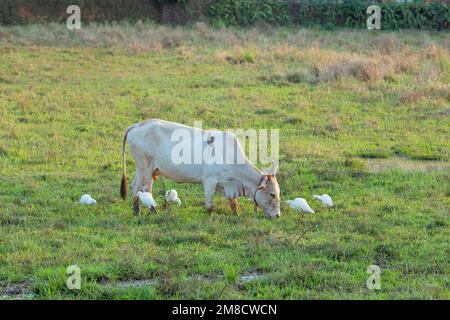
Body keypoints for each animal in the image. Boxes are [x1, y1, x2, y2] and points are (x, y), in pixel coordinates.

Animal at [119, 119, 282, 219]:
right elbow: (209, 205)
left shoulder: (229, 185)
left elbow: (233, 202)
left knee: (137, 187)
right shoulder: (209, 181)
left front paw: (236, 214)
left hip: (145, 169)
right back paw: (149, 211)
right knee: (145, 189)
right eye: (272, 194)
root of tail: (137, 125)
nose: (278, 215)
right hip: (145, 168)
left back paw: (140, 211)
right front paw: (210, 217)